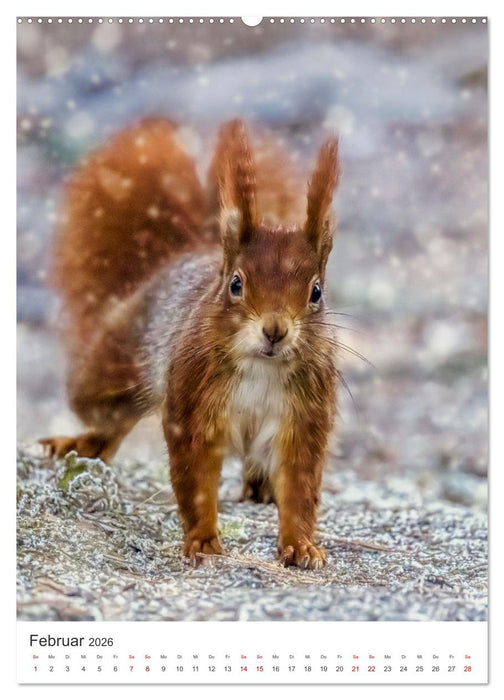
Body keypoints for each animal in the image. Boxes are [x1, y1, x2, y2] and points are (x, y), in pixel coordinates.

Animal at [40, 118, 340, 569]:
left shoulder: (306, 414)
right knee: (112, 418)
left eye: (316, 292)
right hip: (112, 370)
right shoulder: (192, 400)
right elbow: (195, 476)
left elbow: (301, 485)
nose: (275, 331)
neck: (262, 367)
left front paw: (301, 545)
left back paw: (261, 486)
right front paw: (203, 540)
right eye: (236, 284)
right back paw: (81, 445)